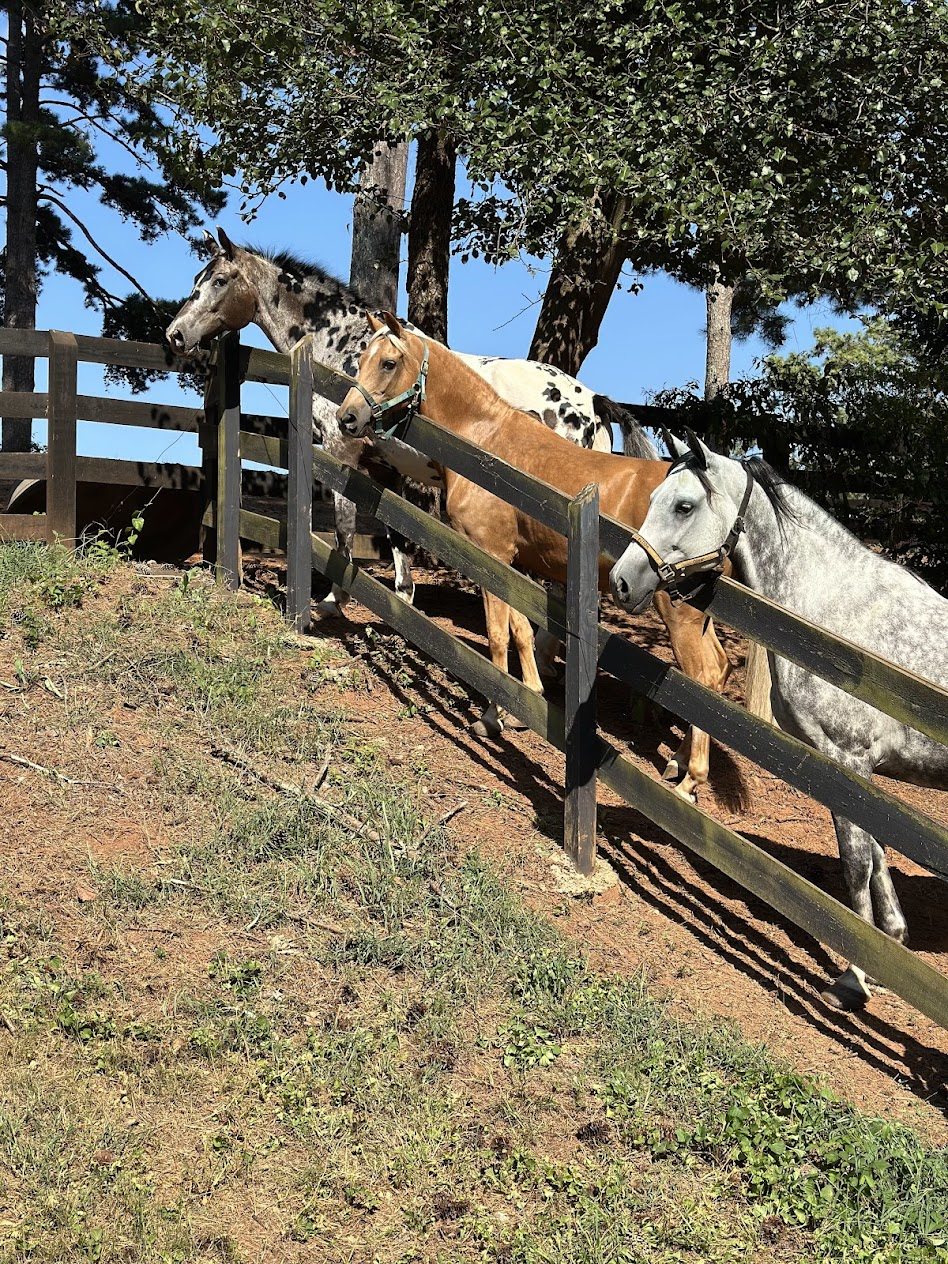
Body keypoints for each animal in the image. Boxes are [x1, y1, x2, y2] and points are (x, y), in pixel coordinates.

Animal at [165, 228, 654, 612]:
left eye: (220, 280)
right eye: (196, 280)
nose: (175, 334)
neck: (343, 347)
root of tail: (593, 402)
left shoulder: (344, 457)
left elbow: (344, 529)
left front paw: (334, 600)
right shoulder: (390, 470)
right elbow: (398, 540)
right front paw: (402, 599)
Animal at [335, 312, 733, 801]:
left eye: (388, 362)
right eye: (362, 359)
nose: (347, 417)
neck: (487, 443)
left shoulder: (489, 555)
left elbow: (497, 635)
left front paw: (493, 716)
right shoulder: (515, 563)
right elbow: (522, 631)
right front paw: (529, 699)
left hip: (677, 612)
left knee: (705, 678)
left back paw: (690, 781)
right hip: (700, 615)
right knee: (717, 674)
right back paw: (677, 763)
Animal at [608, 430, 948, 1010]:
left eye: (683, 505)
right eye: (652, 499)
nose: (621, 581)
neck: (834, 619)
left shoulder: (846, 759)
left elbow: (856, 862)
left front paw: (854, 976)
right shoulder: (861, 774)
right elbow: (877, 853)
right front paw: (890, 945)